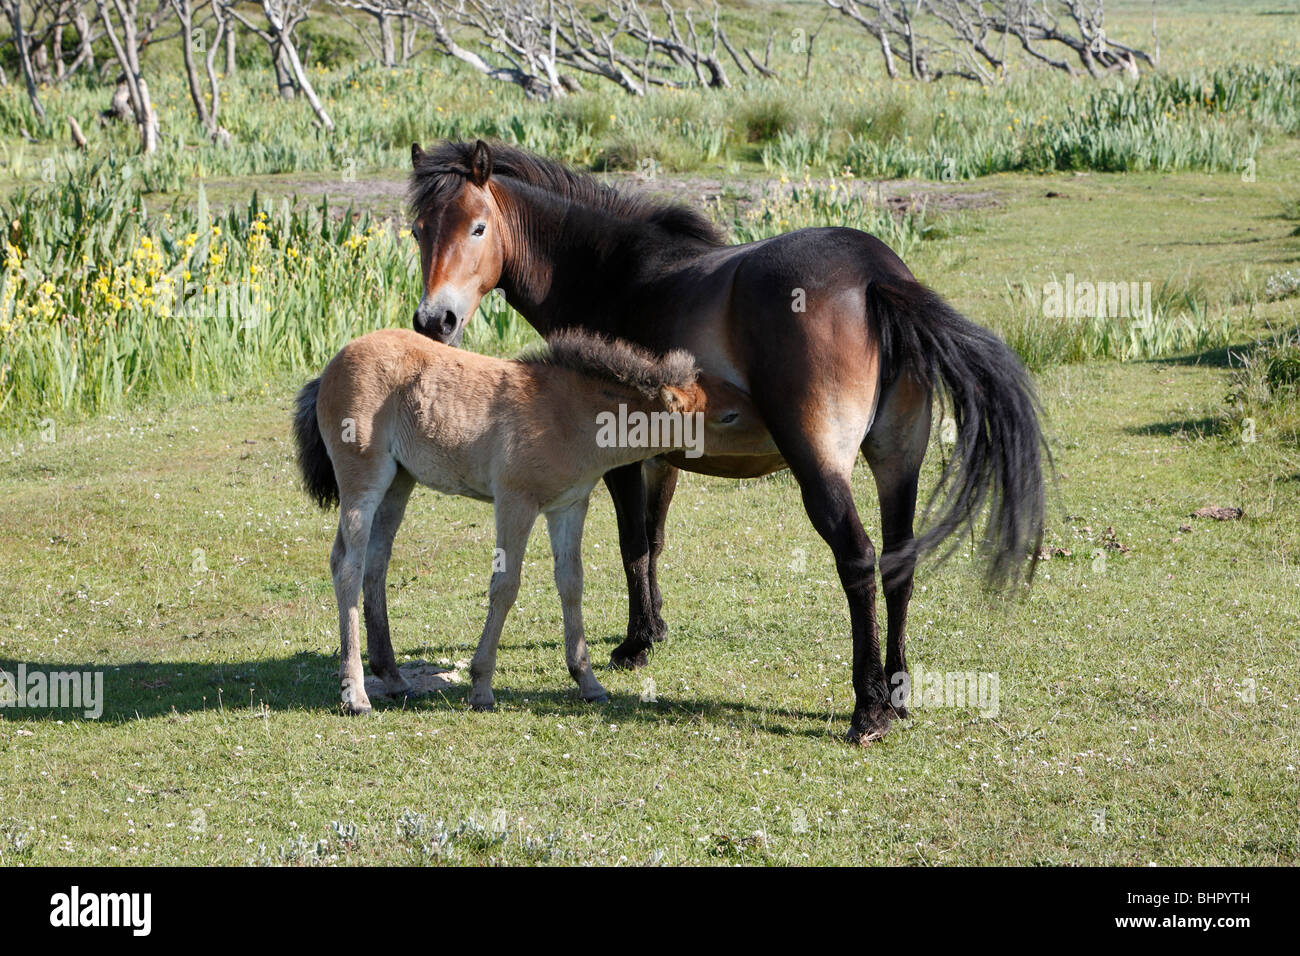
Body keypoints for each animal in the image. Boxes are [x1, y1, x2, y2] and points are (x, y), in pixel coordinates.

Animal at [293, 327, 767, 715]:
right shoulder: (515, 501)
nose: (775, 432)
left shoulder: (569, 505)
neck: (568, 414)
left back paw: (393, 678)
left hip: (399, 482)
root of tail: (329, 368)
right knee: (348, 566)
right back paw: (355, 694)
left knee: (376, 564)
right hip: (363, 479)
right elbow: (505, 586)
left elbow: (571, 584)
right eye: (728, 416)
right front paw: (481, 686)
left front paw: (588, 682)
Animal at [406, 139, 1047, 744]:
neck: (614, 276)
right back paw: (898, 692)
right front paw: (654, 629)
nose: (434, 321)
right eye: (418, 230)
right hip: (898, 460)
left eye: (478, 227)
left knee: (859, 558)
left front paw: (635, 646)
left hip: (821, 467)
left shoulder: (618, 459)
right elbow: (654, 542)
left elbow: (632, 544)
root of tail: (877, 275)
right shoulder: (660, 458)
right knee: (897, 561)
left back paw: (869, 710)